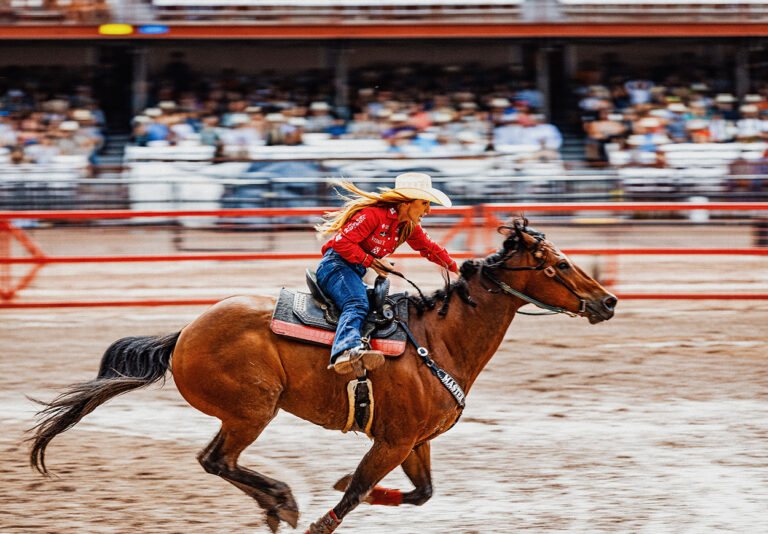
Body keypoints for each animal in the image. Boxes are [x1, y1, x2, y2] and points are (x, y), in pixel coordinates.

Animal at [28, 218, 616, 533]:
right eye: (559, 265)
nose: (607, 300)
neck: (439, 339)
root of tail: (184, 334)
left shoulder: (414, 440)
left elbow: (419, 493)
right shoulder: (392, 440)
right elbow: (355, 489)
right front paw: (322, 516)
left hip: (245, 414)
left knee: (219, 462)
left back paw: (276, 505)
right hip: (252, 411)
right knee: (216, 460)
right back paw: (283, 502)